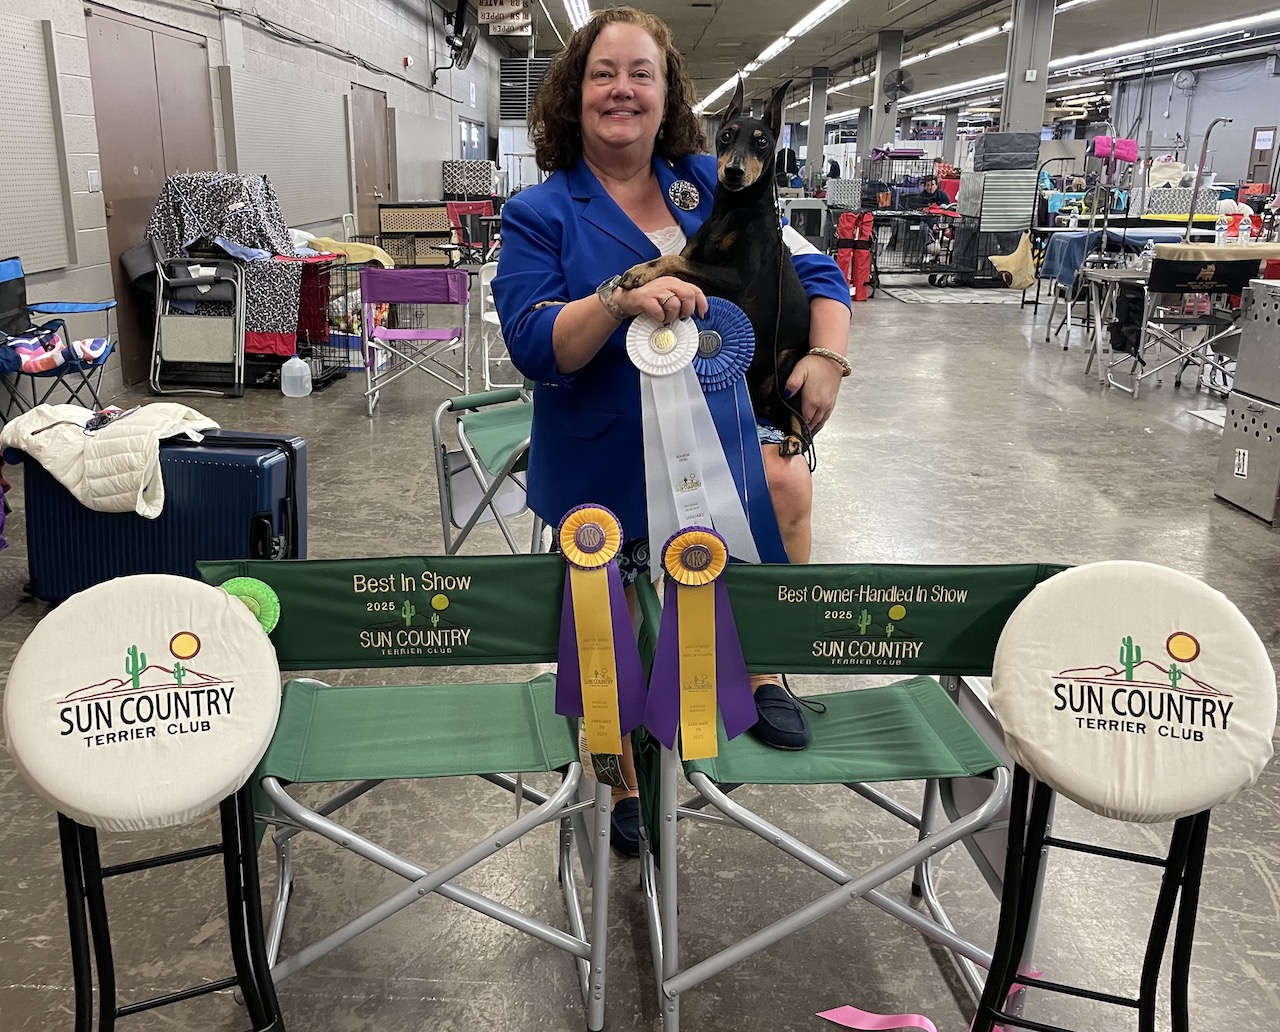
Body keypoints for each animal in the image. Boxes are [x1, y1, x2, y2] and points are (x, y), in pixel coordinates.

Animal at [618, 78, 812, 456]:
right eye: (725, 135)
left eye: (762, 142)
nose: (734, 172)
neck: (733, 210)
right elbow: (679, 261)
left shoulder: (737, 280)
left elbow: (674, 259)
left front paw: (640, 272)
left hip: (785, 369)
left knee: (802, 421)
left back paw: (794, 440)